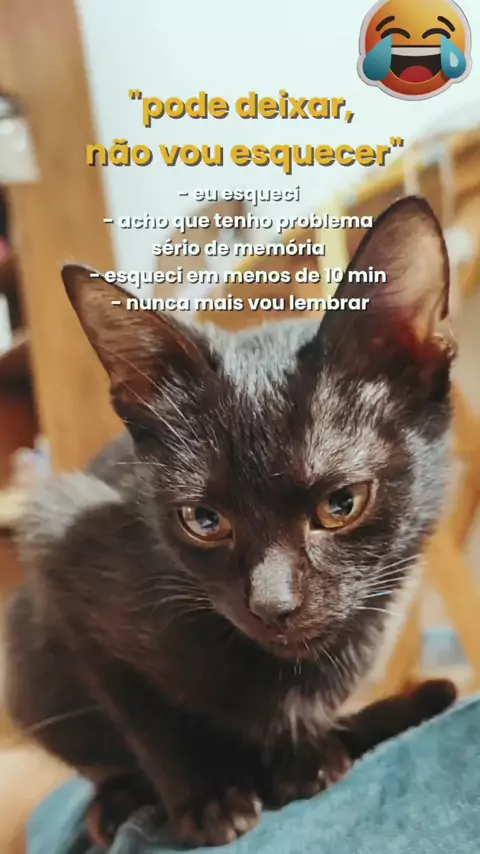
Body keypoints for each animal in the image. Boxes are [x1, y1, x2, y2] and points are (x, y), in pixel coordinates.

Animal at [5, 196, 457, 848]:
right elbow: (146, 715)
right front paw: (207, 796)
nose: (271, 604)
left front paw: (302, 756)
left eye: (341, 503)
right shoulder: (62, 548)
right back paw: (118, 802)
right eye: (203, 519)